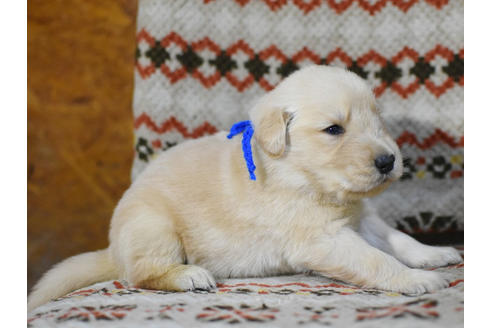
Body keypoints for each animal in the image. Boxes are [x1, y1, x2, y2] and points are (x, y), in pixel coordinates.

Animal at [29, 65, 462, 312]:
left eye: (379, 121)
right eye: (334, 129)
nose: (389, 161)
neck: (306, 178)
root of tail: (112, 252)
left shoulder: (362, 217)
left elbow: (397, 239)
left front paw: (432, 254)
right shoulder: (323, 238)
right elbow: (375, 260)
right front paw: (414, 279)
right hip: (154, 227)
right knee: (141, 273)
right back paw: (188, 276)